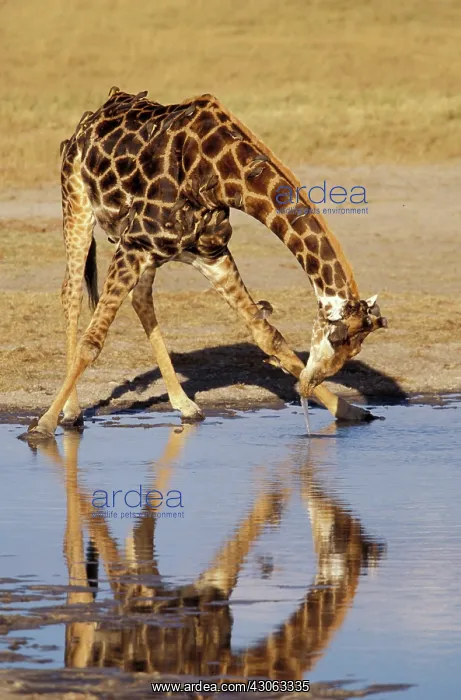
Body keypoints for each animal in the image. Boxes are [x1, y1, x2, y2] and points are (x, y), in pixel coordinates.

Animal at [21, 87, 388, 441]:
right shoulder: (133, 243)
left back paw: (186, 406)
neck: (223, 177)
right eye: (337, 337)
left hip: (156, 251)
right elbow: (91, 343)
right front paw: (42, 425)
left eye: (355, 349)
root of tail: (90, 119)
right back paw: (72, 413)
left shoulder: (210, 253)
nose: (308, 385)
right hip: (77, 202)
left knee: (141, 299)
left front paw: (350, 411)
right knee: (71, 292)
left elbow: (267, 334)